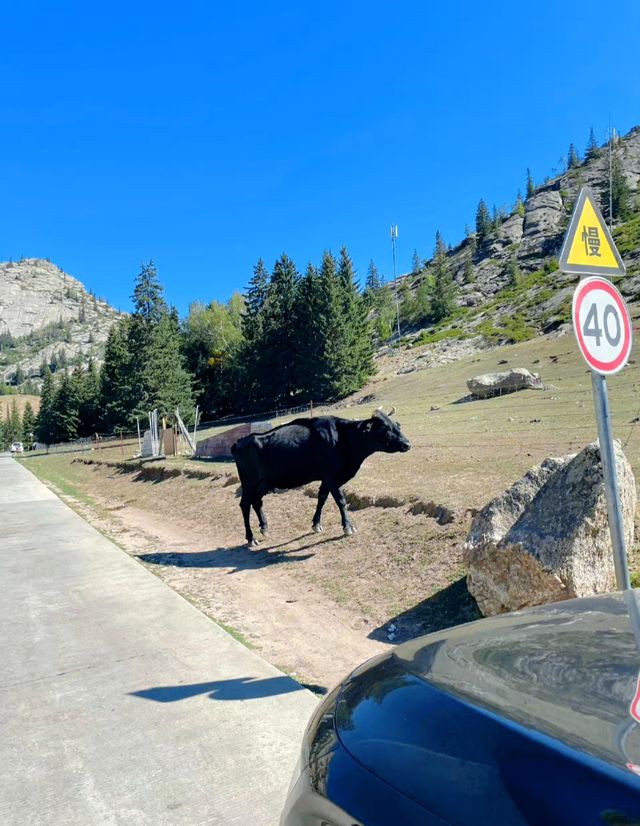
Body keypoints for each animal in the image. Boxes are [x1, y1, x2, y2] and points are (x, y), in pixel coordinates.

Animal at [230, 408, 410, 548]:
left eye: (397, 425)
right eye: (385, 428)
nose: (407, 444)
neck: (342, 438)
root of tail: (239, 442)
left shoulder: (327, 478)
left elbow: (322, 497)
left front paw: (316, 524)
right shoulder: (331, 476)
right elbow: (340, 500)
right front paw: (347, 527)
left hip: (262, 484)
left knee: (257, 503)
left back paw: (264, 528)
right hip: (249, 483)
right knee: (244, 505)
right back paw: (251, 538)